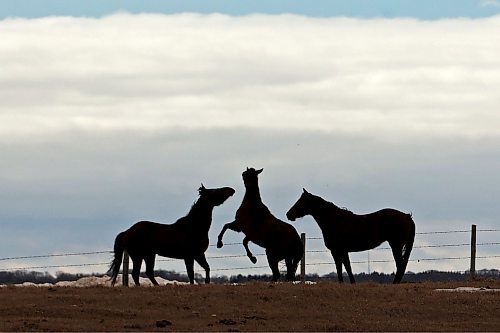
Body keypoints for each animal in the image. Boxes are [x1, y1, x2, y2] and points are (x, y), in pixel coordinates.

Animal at [288, 189, 416, 282]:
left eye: (300, 201)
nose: (288, 214)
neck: (334, 221)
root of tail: (406, 216)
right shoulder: (342, 251)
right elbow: (345, 268)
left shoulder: (338, 251)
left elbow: (342, 268)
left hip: (396, 245)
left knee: (400, 265)